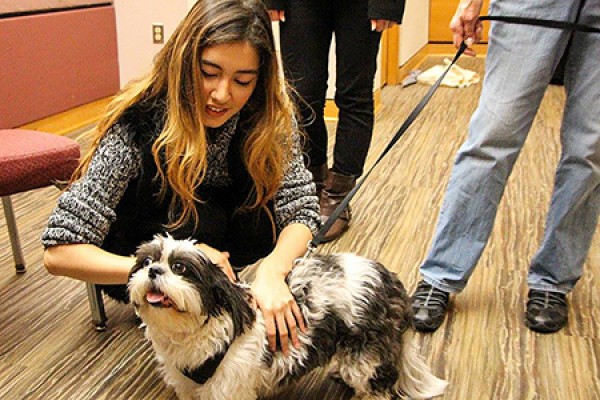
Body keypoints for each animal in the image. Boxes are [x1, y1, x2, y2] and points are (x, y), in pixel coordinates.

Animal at [127, 234, 446, 400]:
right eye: (146, 261)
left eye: (179, 267)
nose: (153, 270)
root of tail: (389, 280)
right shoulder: (188, 387)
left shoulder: (227, 389)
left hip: (367, 357)